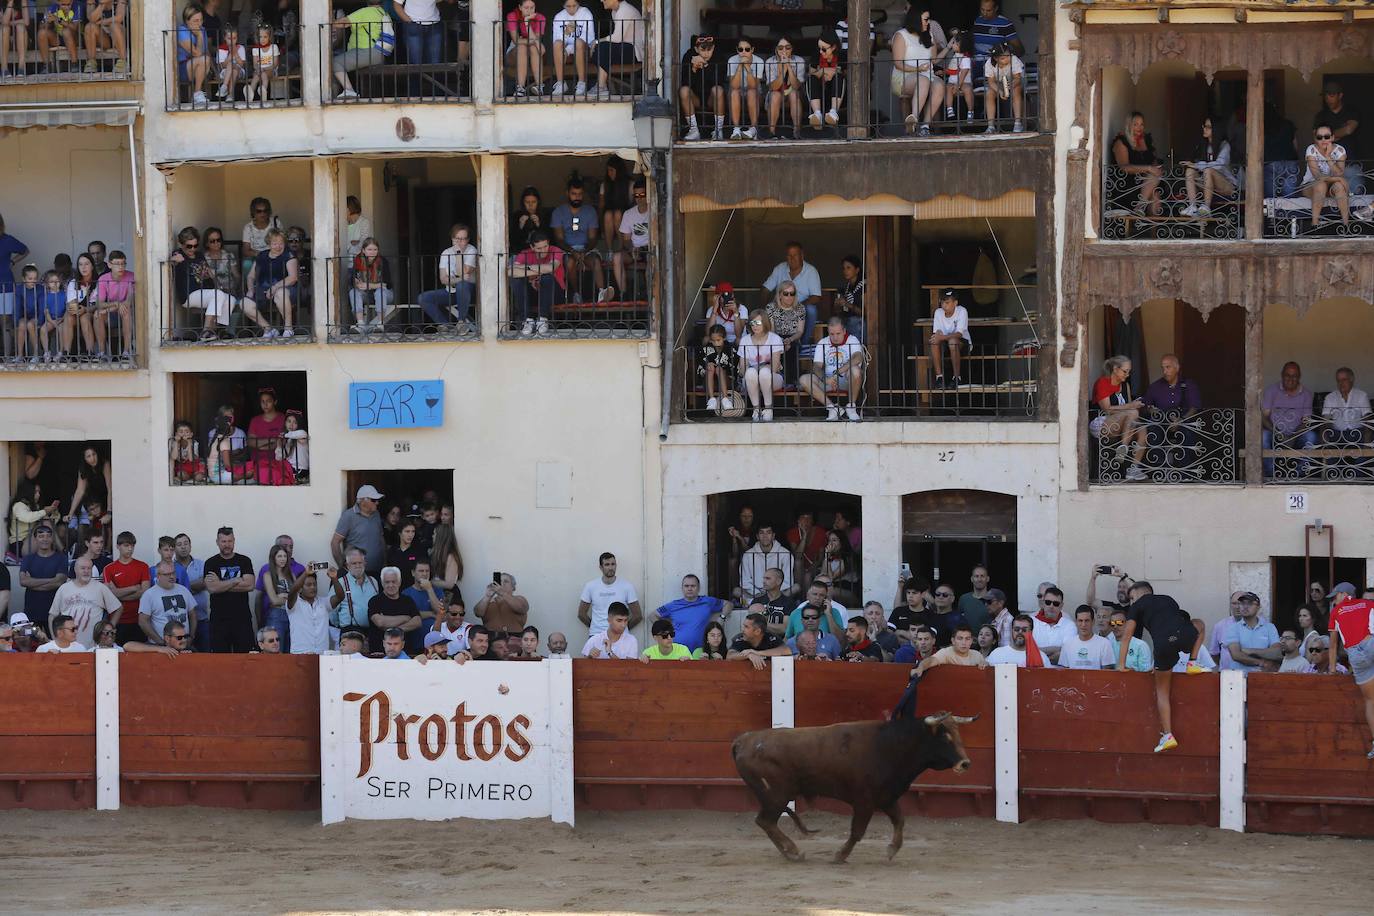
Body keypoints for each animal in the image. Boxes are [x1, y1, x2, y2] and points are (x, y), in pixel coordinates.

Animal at [730, 708, 978, 867]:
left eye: (958, 733)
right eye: (945, 736)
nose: (965, 763)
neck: (890, 745)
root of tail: (743, 740)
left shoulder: (886, 797)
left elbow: (900, 820)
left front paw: (891, 850)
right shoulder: (864, 801)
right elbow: (857, 831)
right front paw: (840, 855)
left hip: (775, 797)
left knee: (766, 822)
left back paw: (790, 853)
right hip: (776, 795)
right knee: (766, 821)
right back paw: (794, 851)